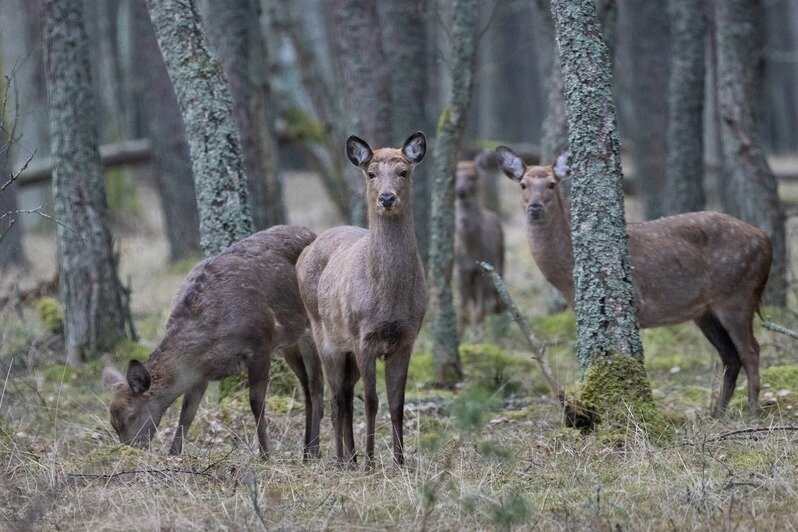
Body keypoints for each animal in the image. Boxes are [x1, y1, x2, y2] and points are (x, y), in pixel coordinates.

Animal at [101, 224, 324, 458]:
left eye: (131, 415)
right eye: (112, 422)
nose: (130, 449)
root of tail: (313, 233)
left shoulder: (262, 342)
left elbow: (256, 402)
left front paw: (264, 453)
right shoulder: (200, 373)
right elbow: (187, 414)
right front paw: (174, 454)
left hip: (310, 328)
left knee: (316, 385)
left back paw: (314, 450)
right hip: (290, 341)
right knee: (305, 386)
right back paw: (306, 449)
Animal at [296, 133, 428, 470]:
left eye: (403, 172)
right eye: (371, 174)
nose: (387, 198)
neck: (388, 300)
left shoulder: (407, 337)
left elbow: (397, 402)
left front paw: (400, 461)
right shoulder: (363, 336)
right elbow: (371, 401)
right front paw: (371, 462)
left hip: (348, 353)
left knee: (345, 392)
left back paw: (351, 457)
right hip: (325, 336)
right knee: (335, 399)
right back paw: (342, 459)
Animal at [456, 160, 506, 330]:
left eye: (473, 176)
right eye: (455, 176)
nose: (461, 191)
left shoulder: (481, 272)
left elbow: (479, 312)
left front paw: (479, 335)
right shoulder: (460, 273)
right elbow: (462, 312)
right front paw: (460, 334)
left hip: (501, 259)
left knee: (496, 297)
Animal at [500, 145, 776, 416]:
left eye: (551, 184)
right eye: (523, 184)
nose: (535, 207)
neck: (567, 279)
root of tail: (765, 239)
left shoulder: (636, 302)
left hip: (736, 294)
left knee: (751, 350)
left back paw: (753, 410)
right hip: (706, 311)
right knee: (730, 356)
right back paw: (716, 413)